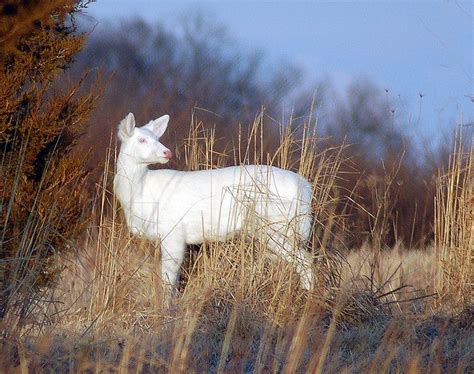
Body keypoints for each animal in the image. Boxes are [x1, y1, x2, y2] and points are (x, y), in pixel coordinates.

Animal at [114, 112, 314, 294]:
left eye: (156, 138)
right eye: (142, 140)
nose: (167, 152)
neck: (141, 193)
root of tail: (305, 188)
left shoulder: (173, 231)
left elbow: (168, 279)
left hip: (278, 226)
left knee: (306, 261)